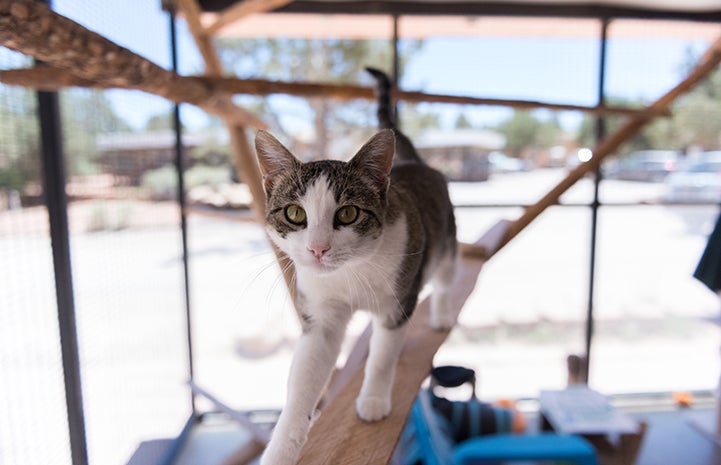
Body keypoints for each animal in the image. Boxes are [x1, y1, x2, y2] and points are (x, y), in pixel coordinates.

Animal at [253, 66, 456, 464]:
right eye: (295, 213)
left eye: (348, 213)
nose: (318, 248)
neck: (350, 272)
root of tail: (412, 162)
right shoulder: (320, 316)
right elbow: (304, 378)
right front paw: (281, 448)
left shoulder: (398, 298)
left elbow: (381, 355)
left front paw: (374, 400)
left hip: (444, 244)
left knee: (443, 280)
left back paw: (440, 314)